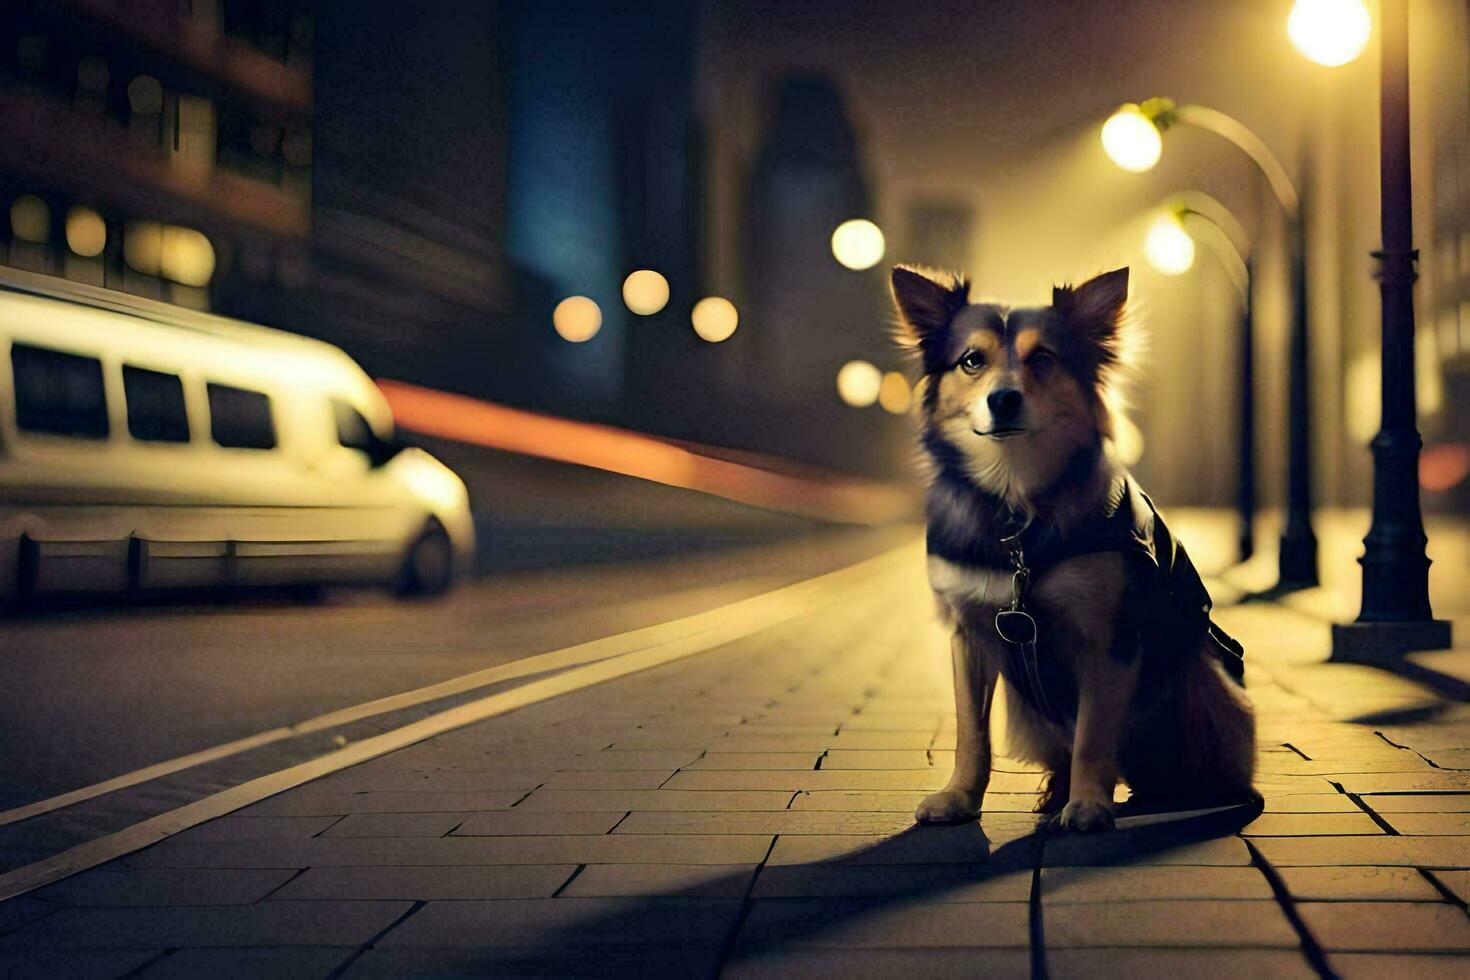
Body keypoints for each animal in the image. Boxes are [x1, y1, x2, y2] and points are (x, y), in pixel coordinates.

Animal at [887, 264, 1258, 834]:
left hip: (1203, 673)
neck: (1016, 504)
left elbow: (1093, 734)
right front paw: (959, 797)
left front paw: (1087, 805)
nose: (1004, 399)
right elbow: (971, 733)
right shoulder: (968, 634)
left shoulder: (1108, 639)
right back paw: (1055, 792)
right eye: (972, 361)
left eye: (1043, 358)